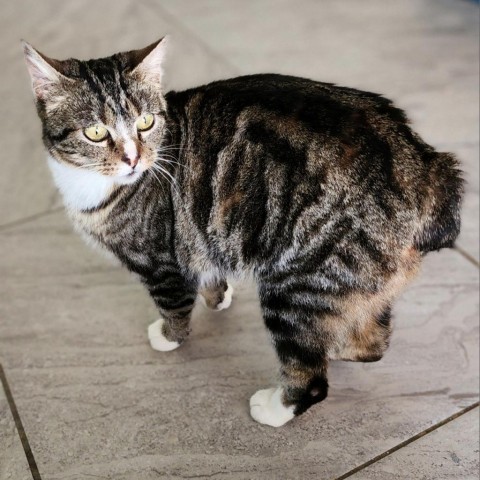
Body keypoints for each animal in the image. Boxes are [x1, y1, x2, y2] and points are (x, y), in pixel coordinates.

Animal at [22, 38, 462, 428]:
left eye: (145, 123)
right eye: (95, 132)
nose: (133, 158)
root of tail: (428, 169)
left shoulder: (160, 261)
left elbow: (174, 305)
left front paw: (169, 335)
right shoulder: (200, 231)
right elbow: (207, 265)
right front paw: (218, 295)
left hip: (296, 284)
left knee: (313, 377)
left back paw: (275, 407)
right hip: (358, 281)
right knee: (373, 342)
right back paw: (336, 342)